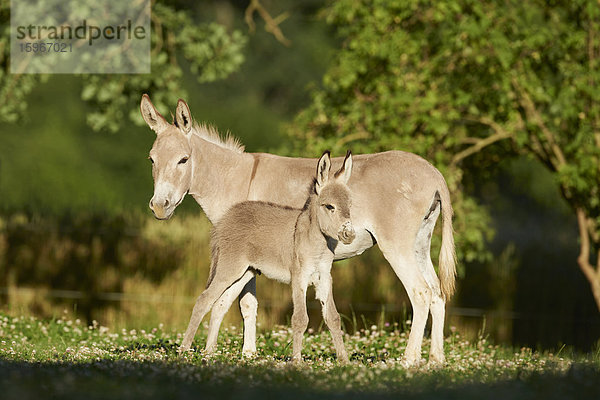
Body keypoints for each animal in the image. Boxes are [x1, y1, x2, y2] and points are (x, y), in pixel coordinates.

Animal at [180, 150, 354, 362]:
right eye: (329, 207)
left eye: (350, 205)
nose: (349, 234)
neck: (316, 241)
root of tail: (225, 220)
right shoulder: (299, 277)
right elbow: (300, 319)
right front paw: (297, 361)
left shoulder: (324, 277)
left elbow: (333, 318)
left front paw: (344, 360)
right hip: (228, 268)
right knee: (203, 301)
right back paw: (184, 350)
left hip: (244, 272)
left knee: (219, 305)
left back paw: (210, 352)